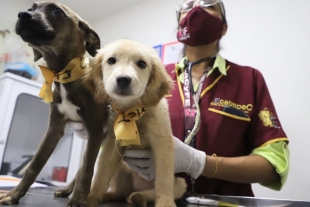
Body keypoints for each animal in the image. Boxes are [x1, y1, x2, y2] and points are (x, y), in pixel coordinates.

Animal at [0, 2, 108, 207]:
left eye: (56, 11)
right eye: (31, 8)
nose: (22, 14)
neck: (65, 74)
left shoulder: (96, 129)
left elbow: (87, 171)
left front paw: (78, 200)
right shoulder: (54, 129)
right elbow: (34, 165)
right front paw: (14, 195)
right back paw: (66, 190)